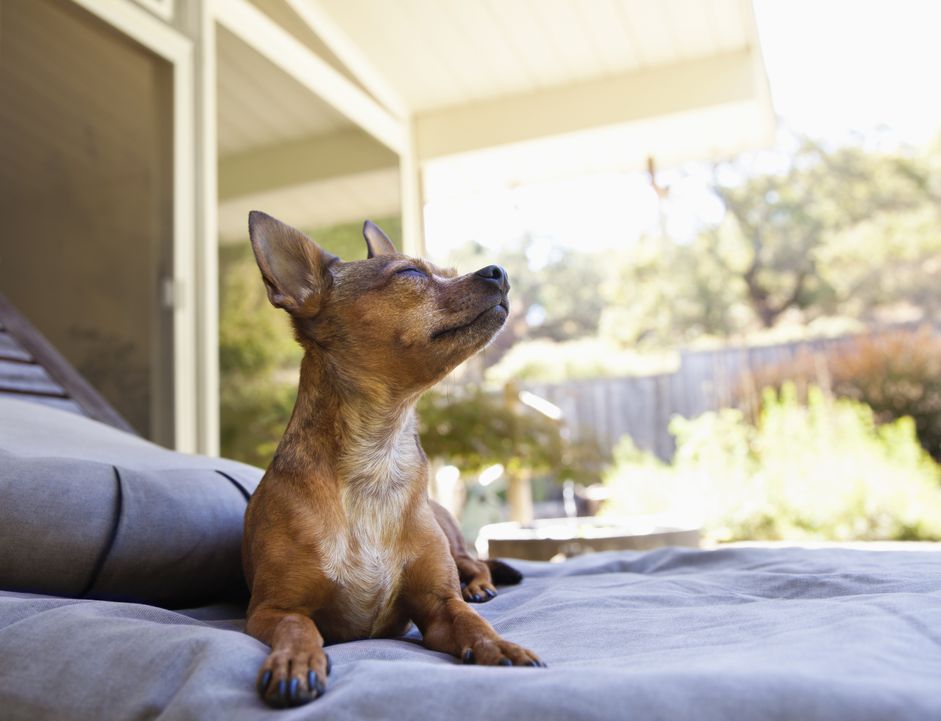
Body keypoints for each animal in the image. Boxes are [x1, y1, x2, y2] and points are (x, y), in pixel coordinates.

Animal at [242, 211, 548, 704]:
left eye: (446, 271)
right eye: (410, 274)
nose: (498, 271)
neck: (379, 459)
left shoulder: (439, 607)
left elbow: (472, 622)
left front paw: (501, 645)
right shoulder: (271, 610)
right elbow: (299, 627)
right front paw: (295, 660)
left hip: (453, 545)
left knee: (477, 563)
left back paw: (479, 586)